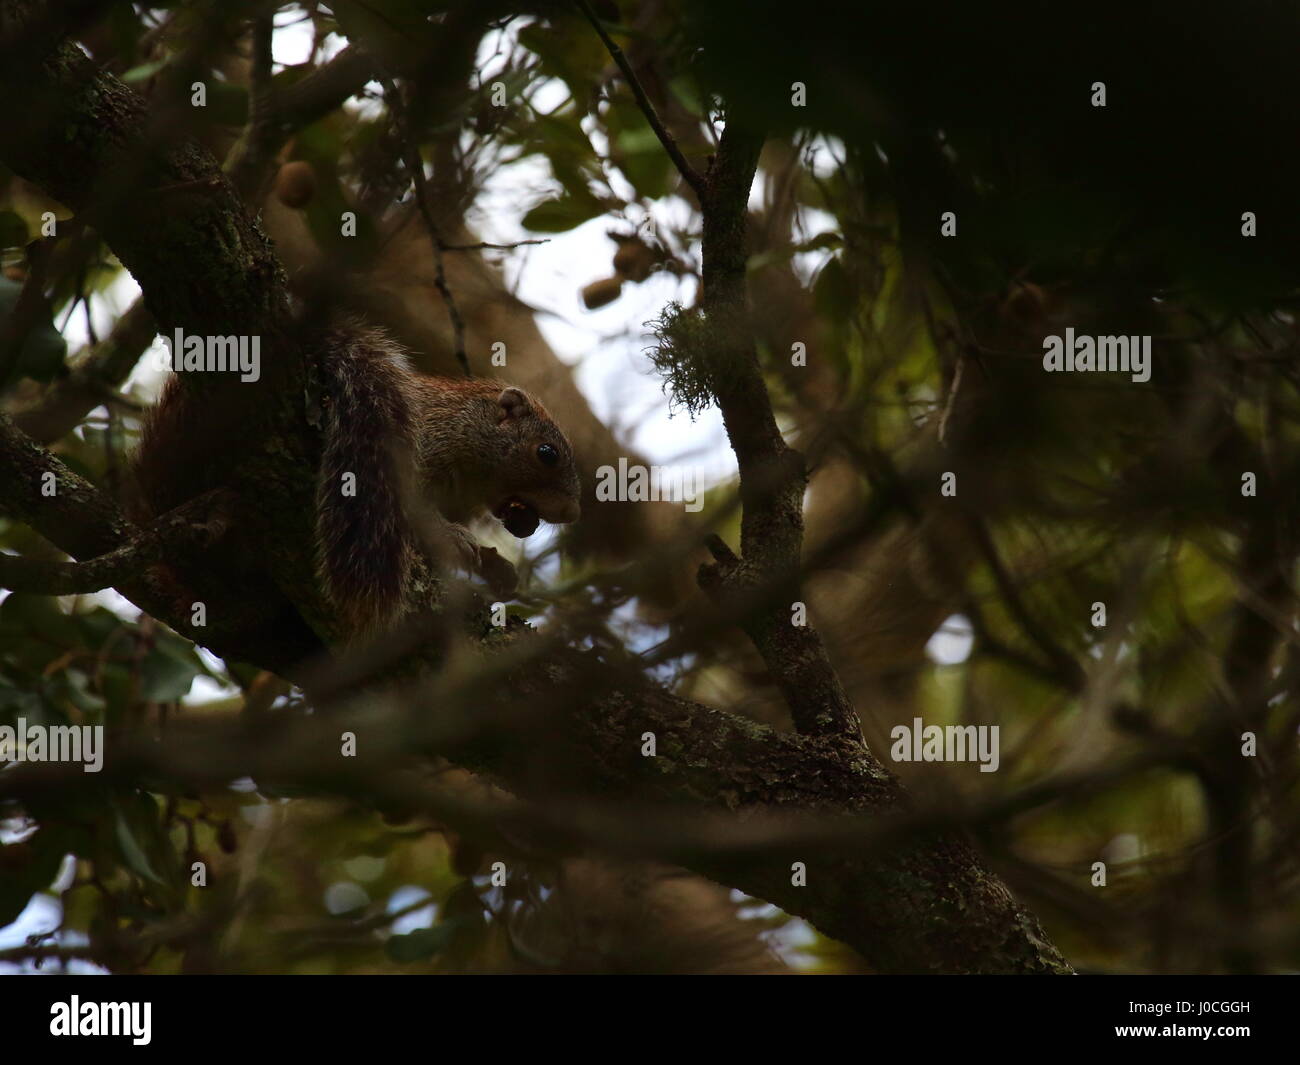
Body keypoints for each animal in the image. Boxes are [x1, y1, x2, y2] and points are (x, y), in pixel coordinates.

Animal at [133, 312, 579, 637]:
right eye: (547, 453)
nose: (570, 513)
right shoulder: (418, 444)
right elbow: (415, 514)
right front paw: (454, 537)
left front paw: (497, 568)